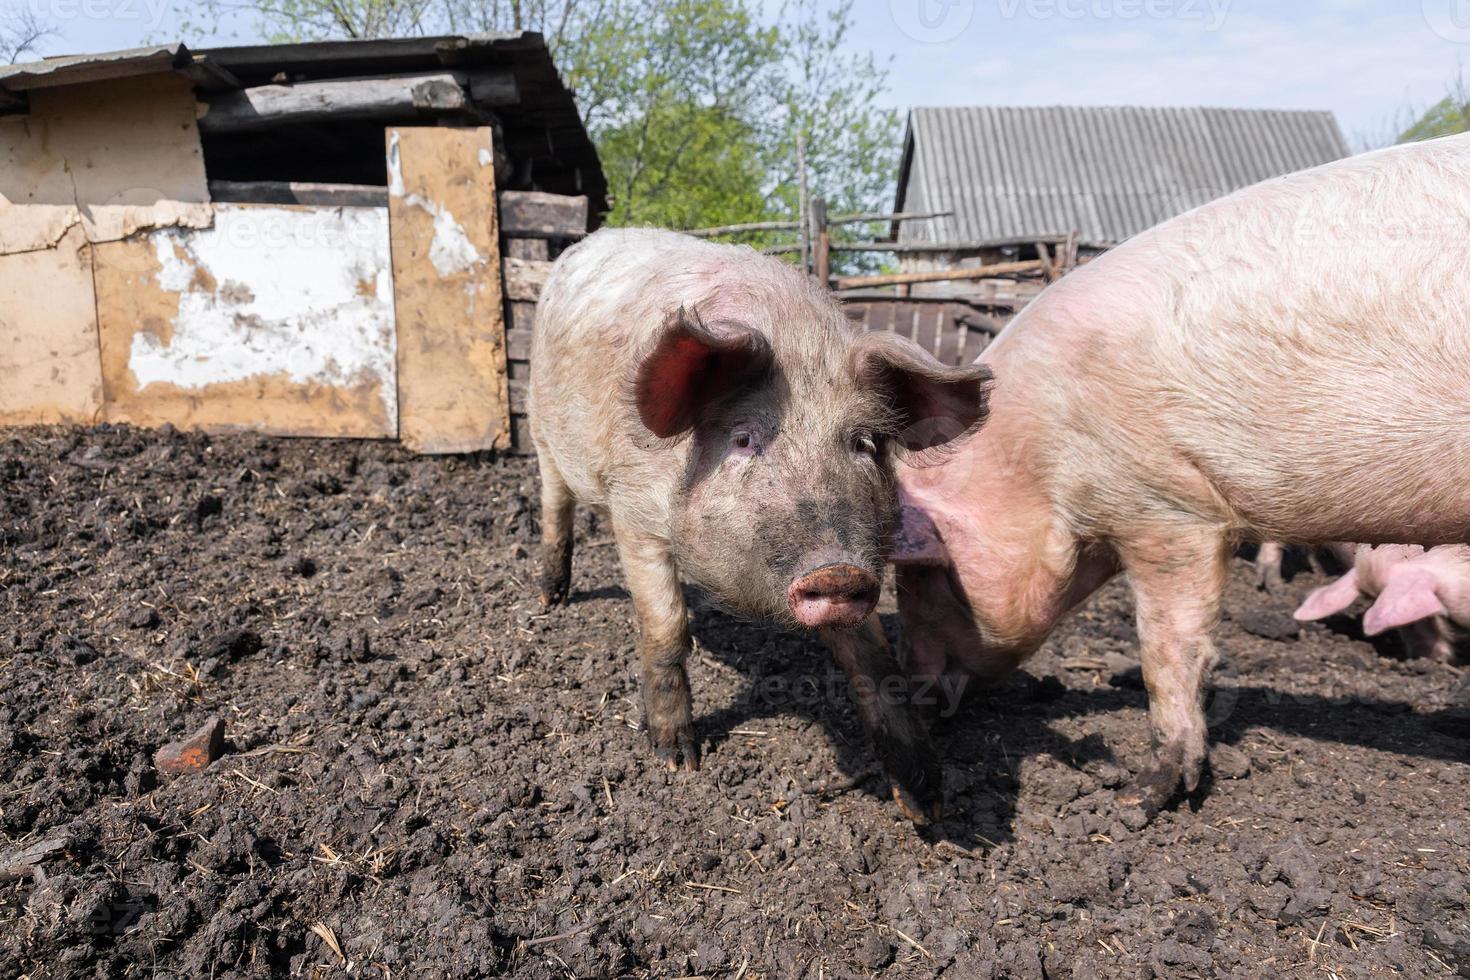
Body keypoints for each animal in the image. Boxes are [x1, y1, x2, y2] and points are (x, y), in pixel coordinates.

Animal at [523, 227, 993, 822]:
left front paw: (925, 803)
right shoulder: (635, 514)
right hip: (541, 430)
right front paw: (679, 761)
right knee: (554, 506)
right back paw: (550, 599)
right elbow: (666, 625)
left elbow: (875, 661)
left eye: (864, 443)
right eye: (744, 438)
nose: (836, 572)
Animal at [876, 132, 1470, 822]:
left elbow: (1168, 647)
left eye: (928, 577)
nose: (911, 685)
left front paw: (1145, 796)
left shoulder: (1170, 509)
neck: (1039, 463)